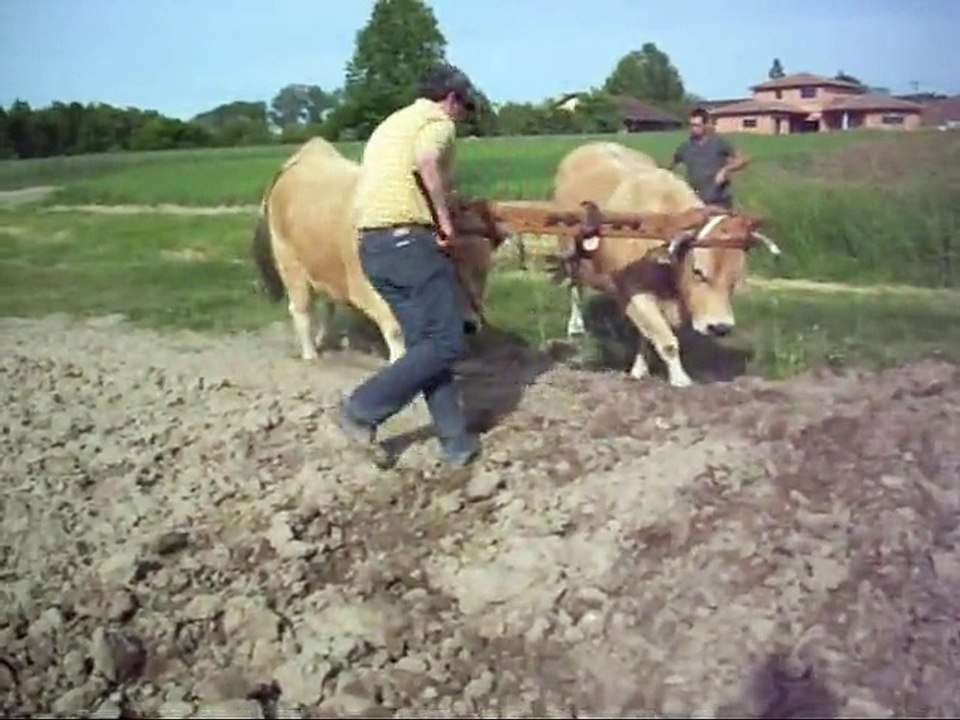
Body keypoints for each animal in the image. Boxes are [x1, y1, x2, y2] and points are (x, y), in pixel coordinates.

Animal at [251, 137, 510, 363]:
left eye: (483, 271)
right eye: (448, 266)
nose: (469, 325)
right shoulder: (369, 289)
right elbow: (395, 330)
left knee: (328, 305)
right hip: (290, 264)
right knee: (301, 309)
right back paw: (310, 354)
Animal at [550, 141, 781, 387]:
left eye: (735, 279)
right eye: (698, 272)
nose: (720, 327)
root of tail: (594, 144)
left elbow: (647, 334)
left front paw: (639, 369)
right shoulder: (635, 292)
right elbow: (665, 339)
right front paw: (680, 380)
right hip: (569, 254)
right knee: (575, 288)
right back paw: (576, 326)